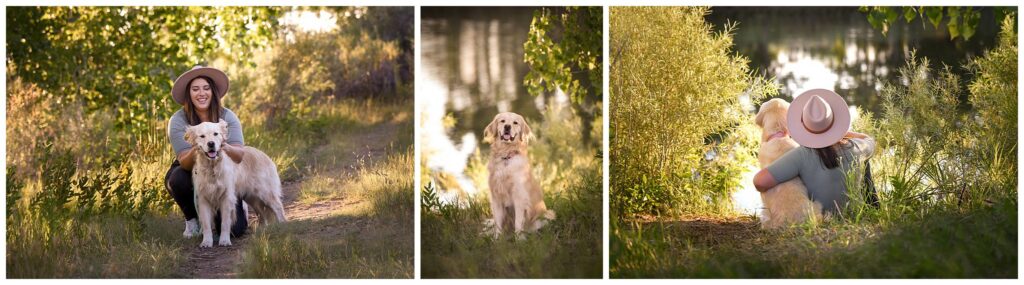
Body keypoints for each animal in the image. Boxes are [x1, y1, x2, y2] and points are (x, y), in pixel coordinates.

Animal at [186, 118, 284, 246]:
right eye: (202, 136)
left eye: (215, 134)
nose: (211, 143)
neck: (212, 168)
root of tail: (264, 155)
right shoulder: (203, 199)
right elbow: (206, 224)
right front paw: (206, 242)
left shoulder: (226, 198)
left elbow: (225, 223)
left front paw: (224, 240)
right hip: (252, 197)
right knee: (262, 214)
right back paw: (262, 230)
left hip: (265, 193)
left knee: (278, 207)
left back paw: (283, 225)